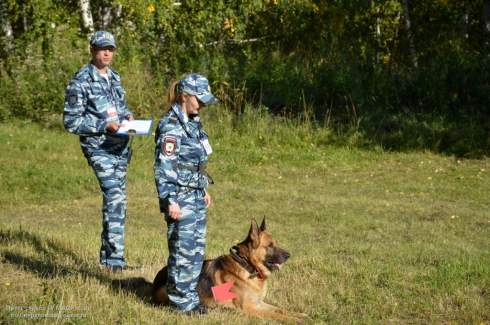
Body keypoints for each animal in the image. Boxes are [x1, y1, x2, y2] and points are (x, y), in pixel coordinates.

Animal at [152, 216, 306, 322]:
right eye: (270, 245)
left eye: (276, 244)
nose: (288, 255)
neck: (248, 266)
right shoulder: (248, 308)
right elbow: (273, 314)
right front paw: (294, 320)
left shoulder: (259, 303)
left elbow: (280, 310)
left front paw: (299, 314)